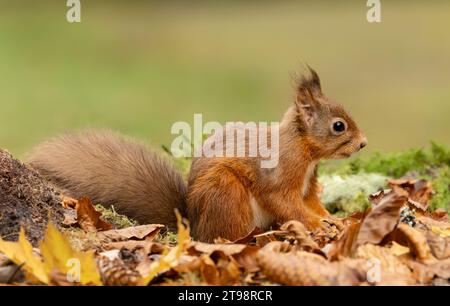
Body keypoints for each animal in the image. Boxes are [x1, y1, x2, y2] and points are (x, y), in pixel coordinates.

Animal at [27, 68, 366, 243]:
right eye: (338, 126)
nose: (363, 143)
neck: (303, 151)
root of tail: (195, 225)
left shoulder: (308, 184)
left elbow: (312, 203)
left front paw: (333, 218)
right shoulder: (280, 177)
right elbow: (288, 204)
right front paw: (321, 225)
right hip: (227, 194)